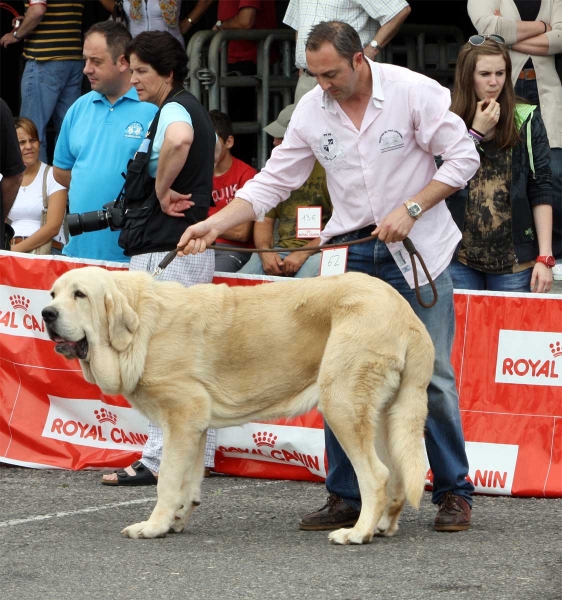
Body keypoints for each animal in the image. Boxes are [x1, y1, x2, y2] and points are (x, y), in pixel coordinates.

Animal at [42, 268, 434, 544]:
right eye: (53, 293)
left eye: (80, 295)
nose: (46, 313)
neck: (142, 326)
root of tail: (406, 313)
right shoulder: (195, 425)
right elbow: (188, 480)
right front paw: (177, 519)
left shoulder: (181, 417)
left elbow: (167, 479)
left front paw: (152, 526)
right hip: (383, 416)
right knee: (397, 475)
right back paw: (382, 526)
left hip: (341, 403)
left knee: (376, 475)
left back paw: (358, 533)